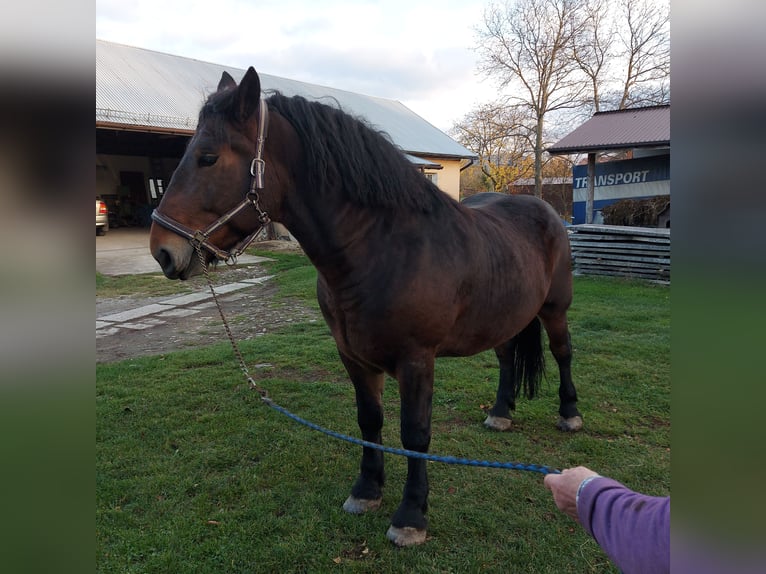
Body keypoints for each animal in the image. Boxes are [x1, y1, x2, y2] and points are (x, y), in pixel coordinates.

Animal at [148, 68, 584, 548]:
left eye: (207, 157)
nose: (162, 251)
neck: (381, 249)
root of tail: (544, 209)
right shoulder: (352, 356)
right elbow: (369, 420)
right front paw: (366, 491)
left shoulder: (417, 360)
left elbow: (415, 433)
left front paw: (411, 516)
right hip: (502, 318)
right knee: (507, 358)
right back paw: (501, 414)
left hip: (555, 309)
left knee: (563, 354)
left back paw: (569, 415)